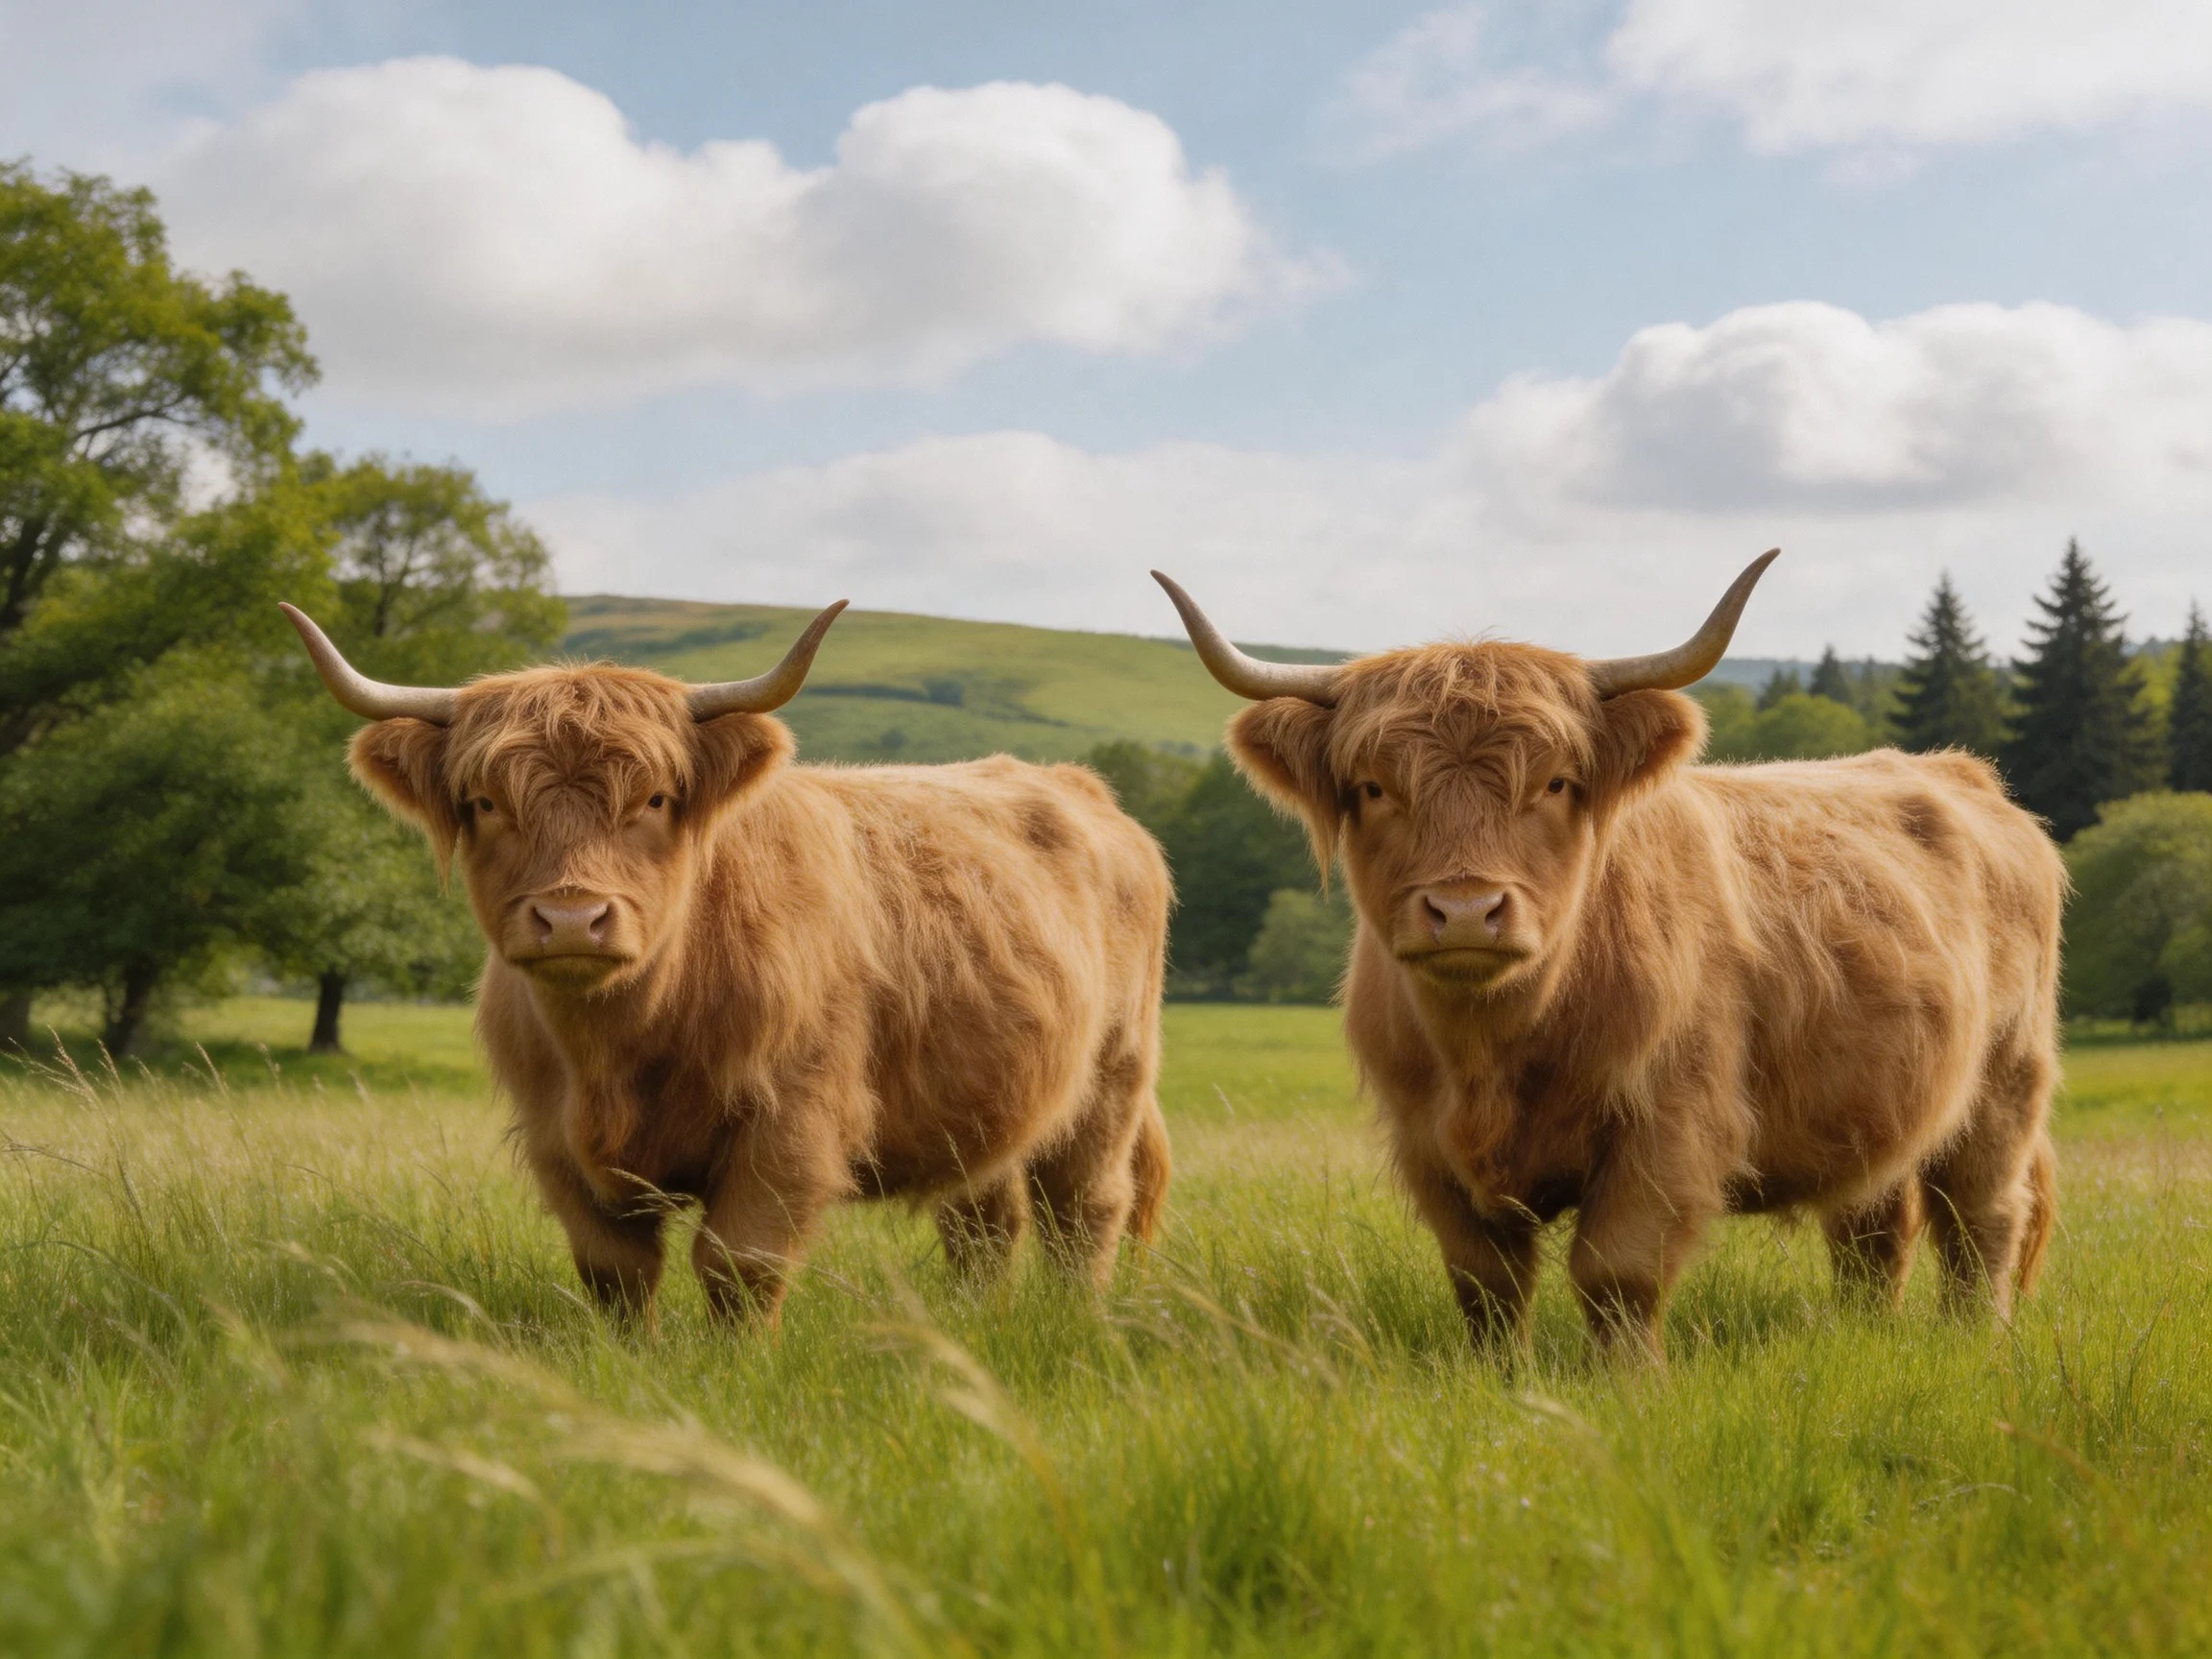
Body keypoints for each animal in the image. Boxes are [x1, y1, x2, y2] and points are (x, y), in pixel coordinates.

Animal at [281, 603, 1172, 1326]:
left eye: (654, 799)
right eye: (486, 803)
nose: (572, 917)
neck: (622, 1044)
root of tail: (1082, 787)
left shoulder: (791, 1121)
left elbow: (740, 1264)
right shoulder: (556, 1140)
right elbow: (615, 1273)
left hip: (1112, 1076)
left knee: (1084, 1209)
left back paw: (1074, 1321)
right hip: (988, 1105)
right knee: (985, 1223)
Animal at [1155, 553, 2062, 1359]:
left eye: (1555, 782)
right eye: (1375, 788)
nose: (1466, 910)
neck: (1492, 1053)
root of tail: (1965, 774)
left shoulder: (1669, 1122)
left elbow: (1617, 1273)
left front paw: (1628, 1385)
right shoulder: (1426, 1144)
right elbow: (1485, 1283)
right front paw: (1499, 1379)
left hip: (2005, 1080)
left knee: (1983, 1217)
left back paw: (1974, 1341)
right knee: (1876, 1224)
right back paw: (1865, 1333)